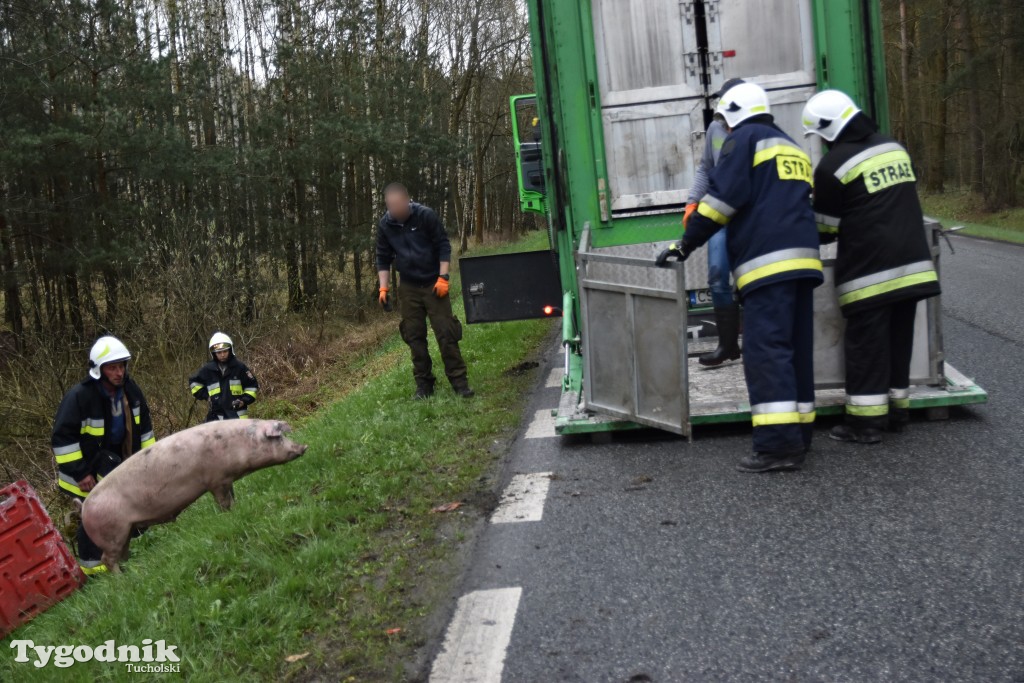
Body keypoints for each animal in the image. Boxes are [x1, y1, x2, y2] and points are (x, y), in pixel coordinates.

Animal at [80, 419, 307, 573]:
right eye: (277, 437)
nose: (304, 447)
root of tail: (83, 509)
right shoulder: (217, 480)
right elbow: (223, 501)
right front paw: (228, 515)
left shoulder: (227, 480)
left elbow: (232, 497)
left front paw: (237, 508)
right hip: (112, 533)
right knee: (106, 560)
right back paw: (121, 577)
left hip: (125, 532)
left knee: (121, 556)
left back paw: (131, 572)